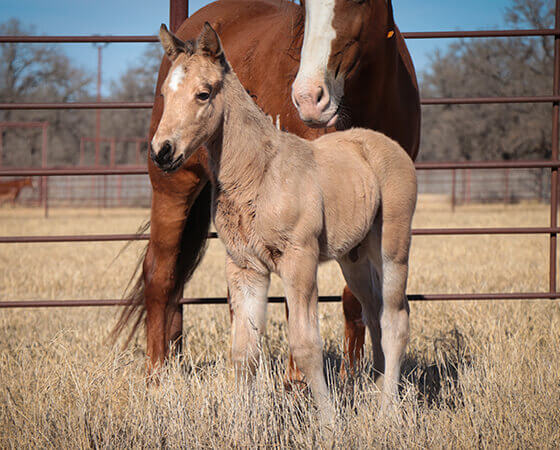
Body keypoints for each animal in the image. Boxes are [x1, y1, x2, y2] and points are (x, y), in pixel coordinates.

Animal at [149, 22, 416, 426]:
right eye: (165, 92)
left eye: (203, 93)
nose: (162, 152)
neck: (259, 172)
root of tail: (385, 144)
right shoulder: (244, 267)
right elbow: (244, 350)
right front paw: (239, 424)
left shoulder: (298, 260)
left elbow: (305, 344)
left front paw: (329, 425)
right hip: (354, 257)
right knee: (374, 314)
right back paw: (375, 394)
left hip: (393, 248)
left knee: (396, 319)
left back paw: (387, 412)